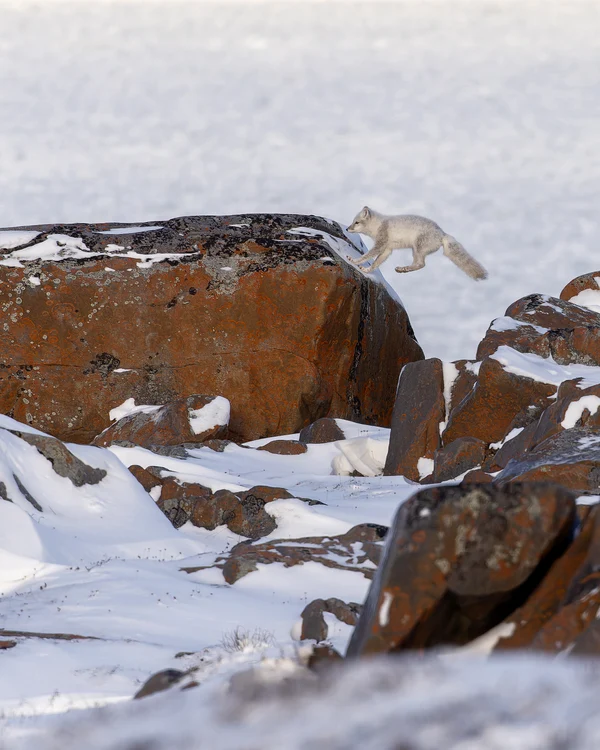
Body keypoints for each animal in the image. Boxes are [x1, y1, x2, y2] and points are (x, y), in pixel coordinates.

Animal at [346, 206, 488, 280]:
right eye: (352, 221)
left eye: (356, 222)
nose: (347, 229)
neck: (378, 225)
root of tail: (442, 234)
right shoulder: (387, 249)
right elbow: (376, 263)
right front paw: (366, 270)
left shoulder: (380, 244)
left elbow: (367, 256)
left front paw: (353, 260)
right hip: (415, 250)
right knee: (419, 264)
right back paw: (402, 270)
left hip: (417, 248)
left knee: (421, 264)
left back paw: (403, 269)